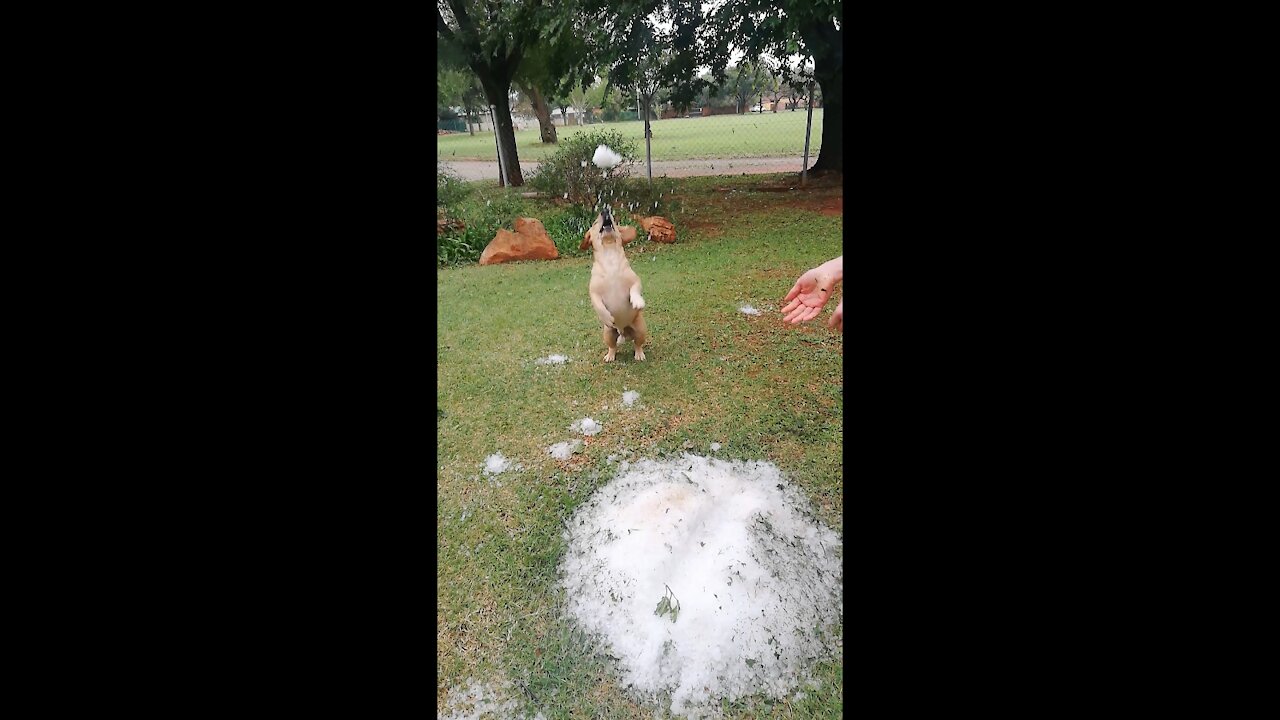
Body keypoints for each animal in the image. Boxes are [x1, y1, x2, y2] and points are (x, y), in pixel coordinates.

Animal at [583, 204, 650, 361]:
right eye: (595, 223)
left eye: (612, 218)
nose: (604, 210)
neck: (610, 256)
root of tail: (623, 331)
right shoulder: (594, 292)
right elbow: (598, 304)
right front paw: (606, 316)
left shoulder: (634, 280)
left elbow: (635, 289)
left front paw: (637, 301)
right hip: (607, 334)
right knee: (612, 346)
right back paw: (610, 356)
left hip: (640, 329)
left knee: (638, 344)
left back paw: (639, 354)